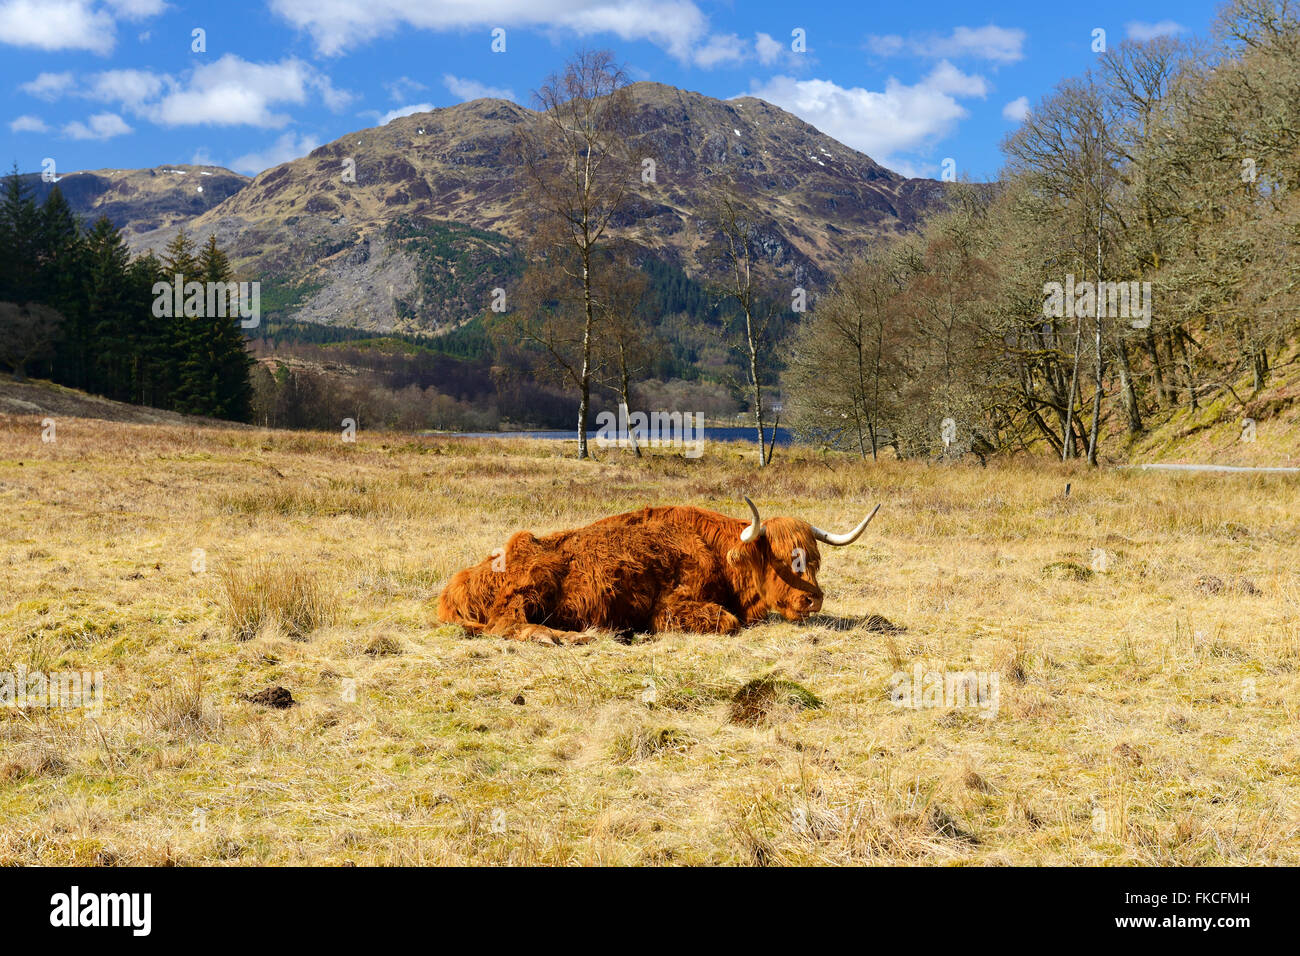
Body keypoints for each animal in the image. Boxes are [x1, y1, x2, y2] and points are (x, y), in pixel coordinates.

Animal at [436, 498, 880, 644]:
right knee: (506, 624)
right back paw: (571, 637)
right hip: (532, 585)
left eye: (813, 559)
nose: (813, 599)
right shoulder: (670, 607)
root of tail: (458, 583)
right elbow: (728, 621)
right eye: (783, 560)